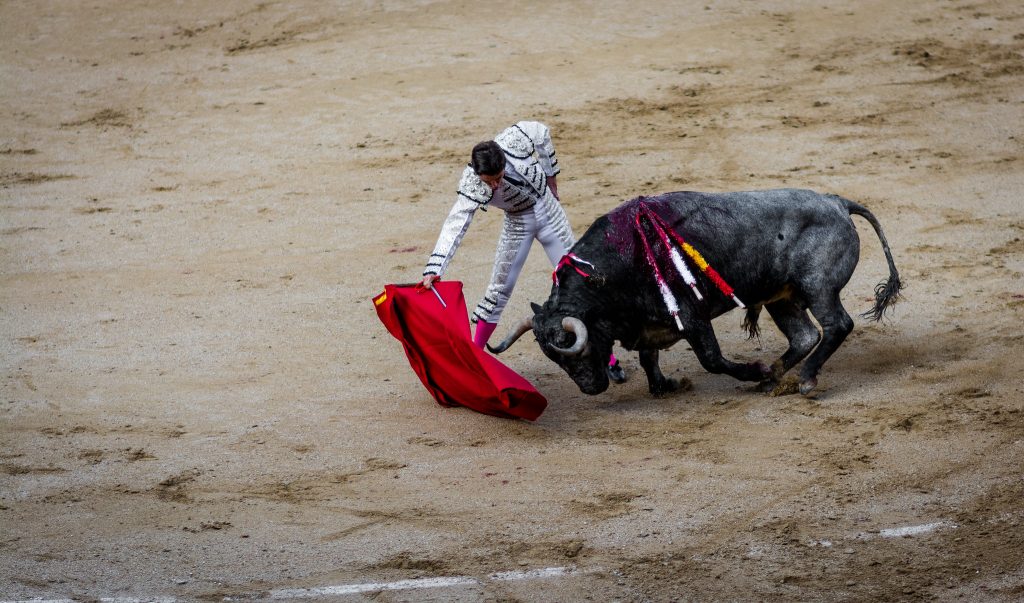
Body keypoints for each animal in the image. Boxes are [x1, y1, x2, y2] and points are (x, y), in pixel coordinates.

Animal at [491, 188, 901, 395]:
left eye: (577, 349)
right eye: (554, 359)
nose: (591, 389)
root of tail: (837, 202)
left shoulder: (691, 315)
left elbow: (711, 359)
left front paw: (751, 369)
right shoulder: (652, 320)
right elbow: (649, 357)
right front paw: (664, 386)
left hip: (818, 288)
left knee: (837, 326)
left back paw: (803, 379)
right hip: (781, 297)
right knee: (804, 335)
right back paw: (773, 377)